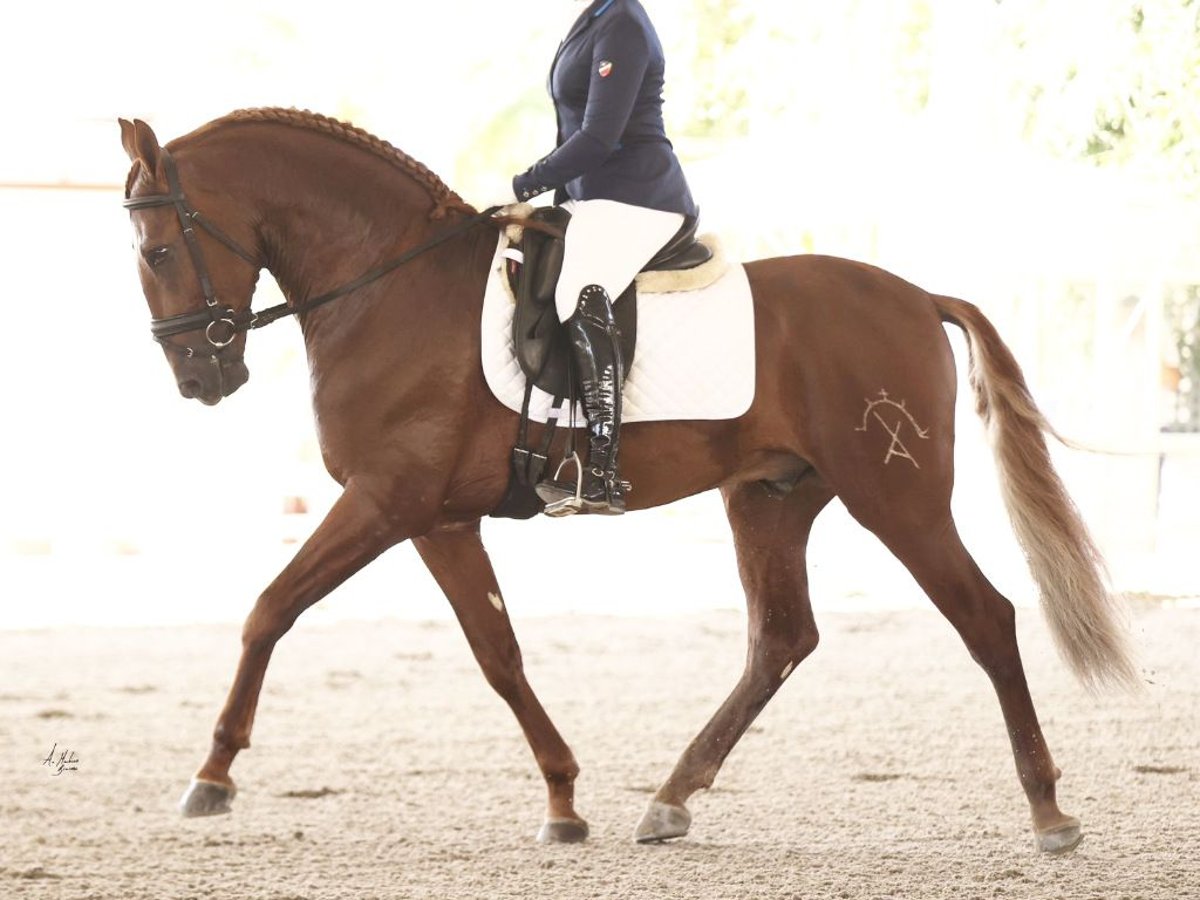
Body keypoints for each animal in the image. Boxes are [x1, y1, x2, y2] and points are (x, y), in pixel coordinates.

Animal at [119, 109, 1132, 854]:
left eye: (156, 252)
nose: (201, 379)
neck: (387, 288)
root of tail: (919, 295)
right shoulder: (438, 520)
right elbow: (499, 654)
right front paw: (565, 802)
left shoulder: (386, 500)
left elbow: (269, 608)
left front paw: (211, 776)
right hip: (769, 497)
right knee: (781, 639)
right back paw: (671, 798)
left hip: (899, 496)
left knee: (985, 618)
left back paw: (1049, 812)